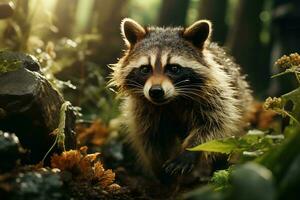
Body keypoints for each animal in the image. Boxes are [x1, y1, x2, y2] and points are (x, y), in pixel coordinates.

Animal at [109, 18, 252, 181]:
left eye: (174, 68)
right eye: (145, 69)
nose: (155, 91)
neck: (172, 100)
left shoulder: (218, 95)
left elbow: (213, 125)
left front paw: (190, 151)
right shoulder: (142, 110)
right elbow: (150, 137)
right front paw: (158, 165)